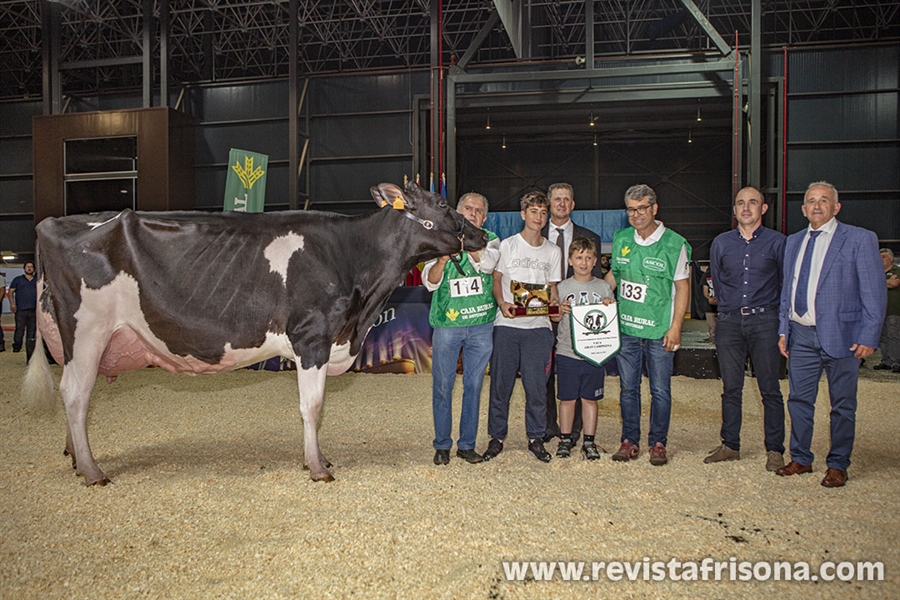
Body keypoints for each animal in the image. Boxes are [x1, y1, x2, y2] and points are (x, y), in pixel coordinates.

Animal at [22, 180, 486, 486]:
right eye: (441, 202)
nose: (481, 233)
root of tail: (53, 223)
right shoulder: (312, 337)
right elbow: (312, 407)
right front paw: (317, 467)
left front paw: (319, 459)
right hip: (87, 331)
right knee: (76, 394)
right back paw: (92, 471)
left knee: (73, 393)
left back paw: (74, 457)